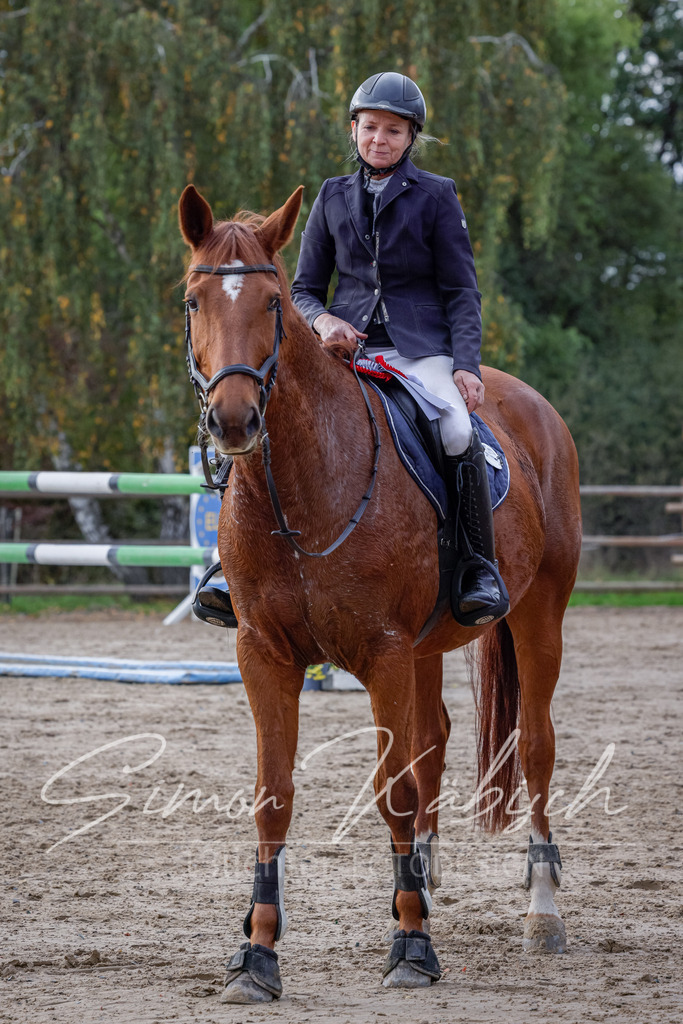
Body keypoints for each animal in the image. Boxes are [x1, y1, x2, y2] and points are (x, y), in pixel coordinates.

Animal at [178, 183, 582, 1003]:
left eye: (273, 303)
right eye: (194, 300)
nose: (233, 421)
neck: (304, 486)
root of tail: (527, 402)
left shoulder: (383, 653)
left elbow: (392, 790)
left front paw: (412, 948)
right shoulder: (263, 654)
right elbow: (274, 795)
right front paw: (256, 954)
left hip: (537, 615)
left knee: (534, 749)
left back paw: (540, 913)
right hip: (427, 647)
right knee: (433, 744)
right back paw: (421, 881)